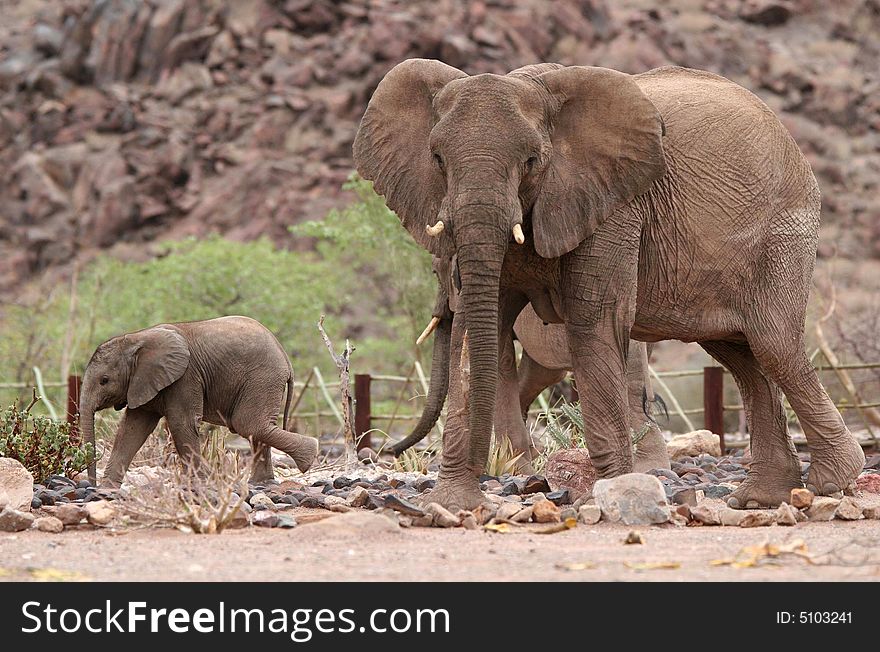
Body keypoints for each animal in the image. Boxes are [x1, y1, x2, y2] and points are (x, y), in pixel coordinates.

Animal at [79, 316, 318, 488]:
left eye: (104, 380)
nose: (91, 485)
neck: (136, 338)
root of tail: (285, 356)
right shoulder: (144, 383)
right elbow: (131, 429)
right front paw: (108, 490)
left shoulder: (184, 377)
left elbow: (181, 424)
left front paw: (202, 483)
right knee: (256, 427)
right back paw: (262, 483)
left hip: (262, 378)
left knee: (248, 424)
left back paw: (309, 457)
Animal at [354, 59, 864, 510]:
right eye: (437, 159)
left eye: (531, 160)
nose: (379, 451)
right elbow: (476, 332)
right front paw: (450, 506)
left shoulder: (613, 203)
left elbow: (593, 321)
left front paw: (614, 492)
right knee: (741, 355)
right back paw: (761, 498)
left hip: (783, 235)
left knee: (772, 344)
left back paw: (831, 481)